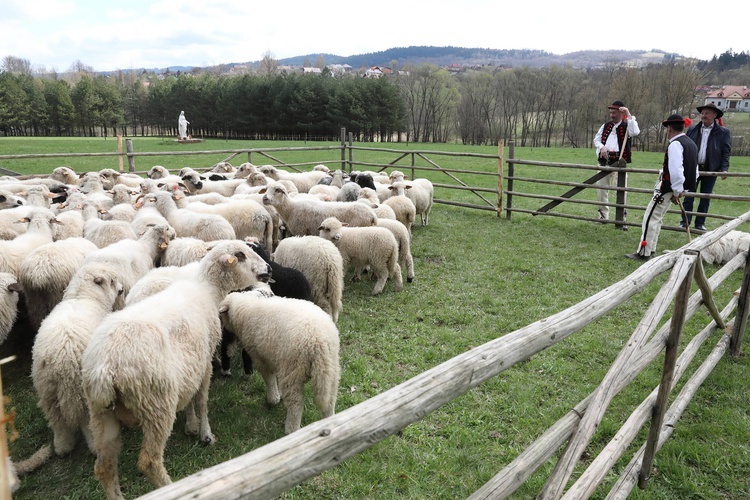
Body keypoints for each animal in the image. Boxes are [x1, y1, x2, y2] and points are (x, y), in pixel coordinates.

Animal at [30, 262, 123, 460]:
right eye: (112, 281)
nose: (121, 290)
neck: (84, 296)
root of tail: (60, 361)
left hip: (47, 390)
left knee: (57, 421)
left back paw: (62, 447)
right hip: (80, 389)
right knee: (86, 420)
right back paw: (95, 446)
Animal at [81, 240, 274, 498]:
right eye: (240, 255)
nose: (269, 269)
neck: (207, 289)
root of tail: (105, 369)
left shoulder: (190, 366)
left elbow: (191, 399)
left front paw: (192, 426)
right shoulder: (204, 363)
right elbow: (201, 401)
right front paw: (205, 434)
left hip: (101, 413)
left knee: (104, 467)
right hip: (156, 403)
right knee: (149, 461)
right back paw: (171, 487)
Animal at [217, 286, 340, 434]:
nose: (222, 328)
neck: (246, 310)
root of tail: (319, 341)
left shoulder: (260, 358)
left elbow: (269, 378)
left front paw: (273, 398)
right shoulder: (274, 356)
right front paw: (278, 395)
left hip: (292, 370)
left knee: (296, 403)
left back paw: (291, 430)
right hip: (331, 370)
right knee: (330, 400)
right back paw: (329, 421)